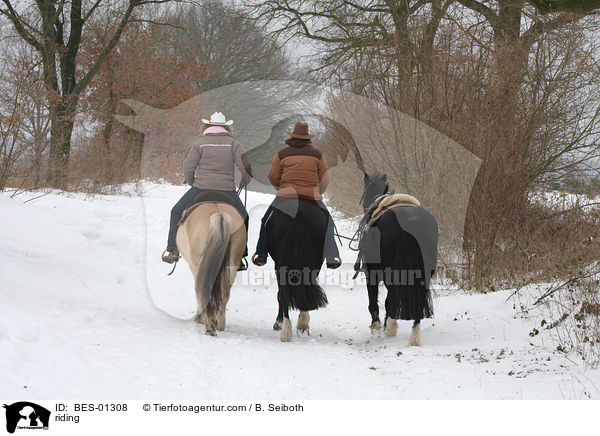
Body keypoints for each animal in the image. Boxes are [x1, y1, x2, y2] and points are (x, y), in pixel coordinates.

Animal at [176, 203, 246, 336]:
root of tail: (220, 215)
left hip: (198, 265)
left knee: (202, 288)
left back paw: (208, 326)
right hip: (232, 264)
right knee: (225, 293)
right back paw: (219, 325)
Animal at [264, 196, 328, 342]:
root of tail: (301, 214)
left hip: (280, 265)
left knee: (283, 294)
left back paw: (285, 329)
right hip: (315, 263)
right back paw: (300, 325)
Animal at [356, 173, 436, 344]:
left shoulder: (371, 273)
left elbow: (374, 302)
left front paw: (377, 327)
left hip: (389, 273)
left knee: (390, 299)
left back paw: (390, 328)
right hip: (425, 271)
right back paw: (414, 336)